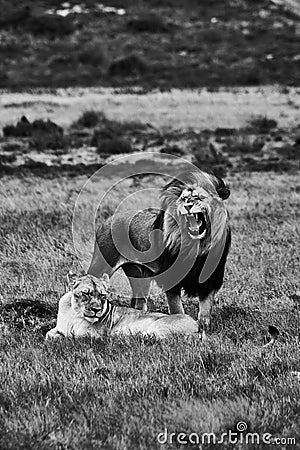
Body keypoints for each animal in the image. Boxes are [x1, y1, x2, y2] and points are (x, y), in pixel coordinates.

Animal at [45, 272, 198, 340]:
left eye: (102, 296)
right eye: (86, 293)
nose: (96, 310)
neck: (74, 313)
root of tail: (197, 325)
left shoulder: (94, 335)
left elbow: (72, 337)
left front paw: (62, 338)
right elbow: (49, 334)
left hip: (158, 328)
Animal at [88, 171, 231, 336]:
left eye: (199, 198)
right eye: (184, 199)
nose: (188, 206)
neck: (196, 245)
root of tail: (109, 219)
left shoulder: (210, 281)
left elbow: (205, 312)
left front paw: (203, 330)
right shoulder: (172, 280)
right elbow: (177, 309)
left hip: (140, 277)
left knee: (139, 304)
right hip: (101, 265)